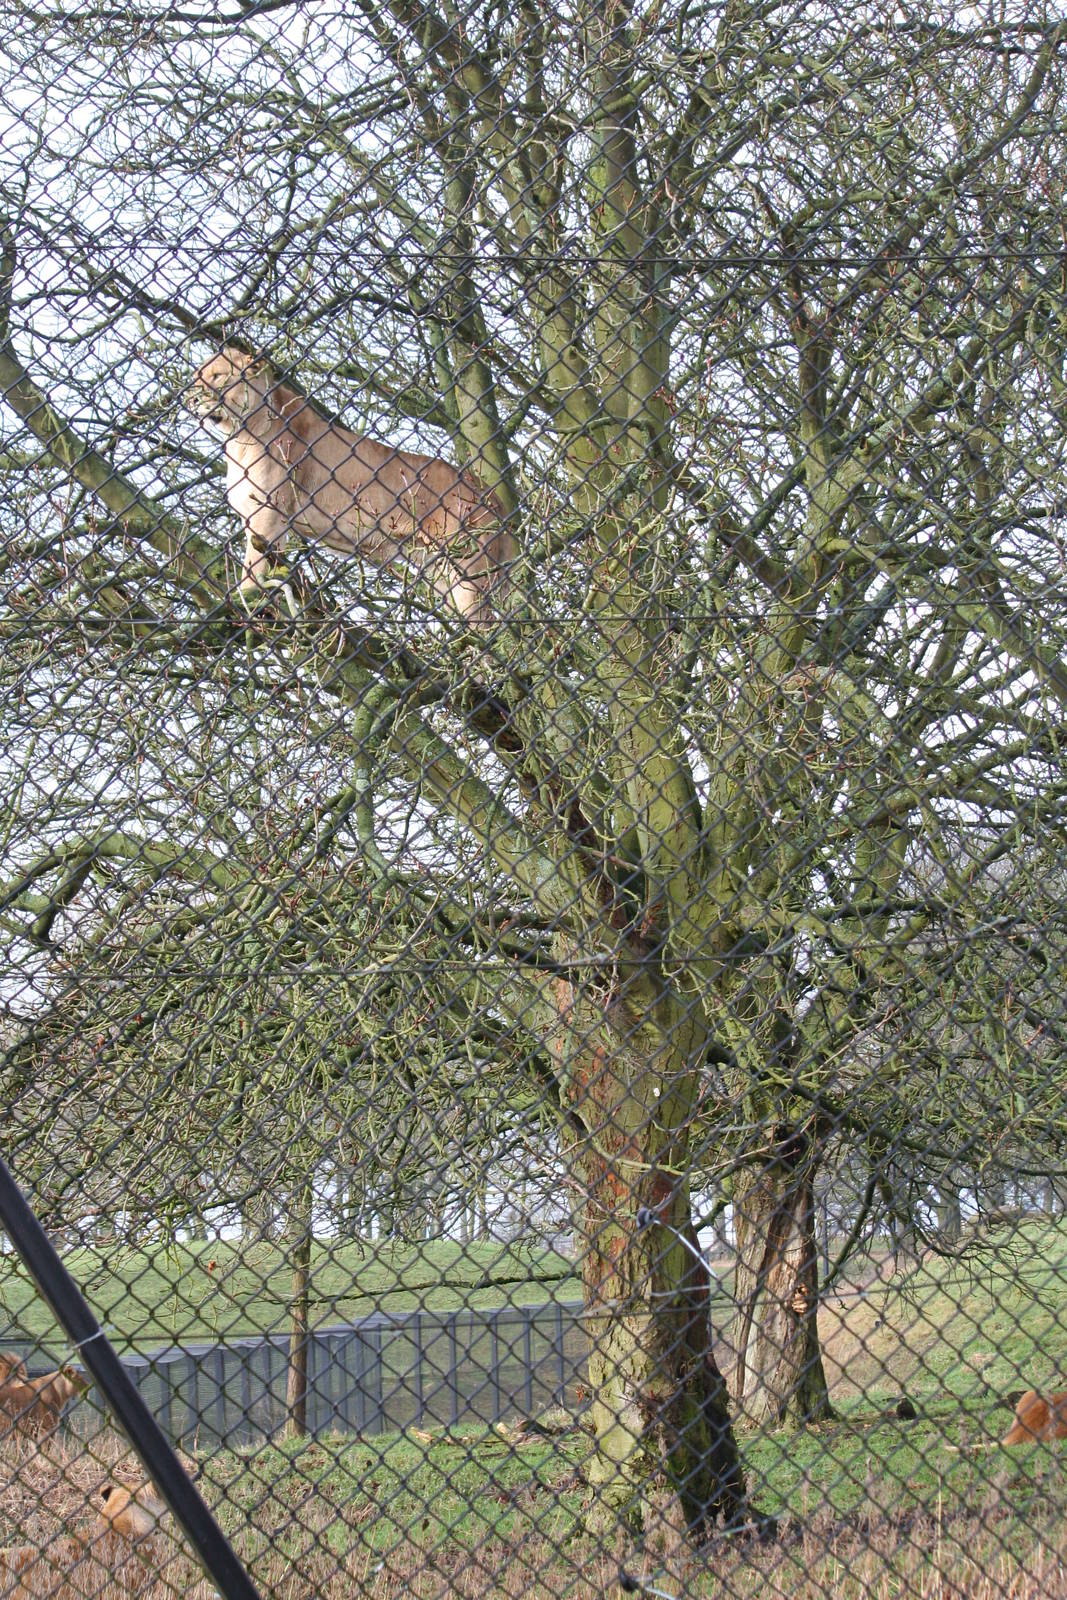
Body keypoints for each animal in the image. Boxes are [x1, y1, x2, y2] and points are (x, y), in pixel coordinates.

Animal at [188, 348, 515, 624]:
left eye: (217, 376)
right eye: (196, 376)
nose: (191, 399)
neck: (238, 436)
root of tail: (493, 497)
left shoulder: (268, 514)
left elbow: (253, 568)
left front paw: (250, 601)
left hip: (469, 571)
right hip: (440, 571)